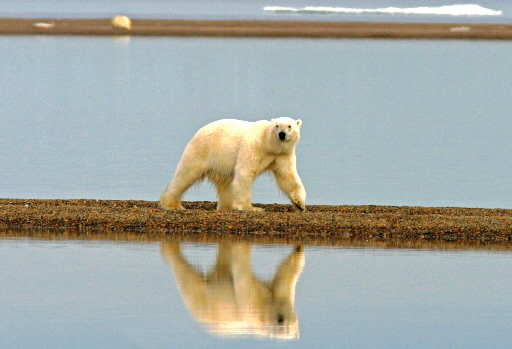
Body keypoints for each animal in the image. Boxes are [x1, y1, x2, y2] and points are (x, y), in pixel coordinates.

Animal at [160, 117, 306, 211]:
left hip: (221, 163)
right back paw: (172, 204)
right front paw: (250, 207)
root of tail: (198, 132)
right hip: (202, 150)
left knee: (225, 183)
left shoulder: (282, 155)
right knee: (186, 174)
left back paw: (226, 206)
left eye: (289, 126)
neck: (267, 144)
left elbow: (287, 175)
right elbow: (245, 172)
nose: (282, 134)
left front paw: (299, 203)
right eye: (277, 126)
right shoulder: (253, 147)